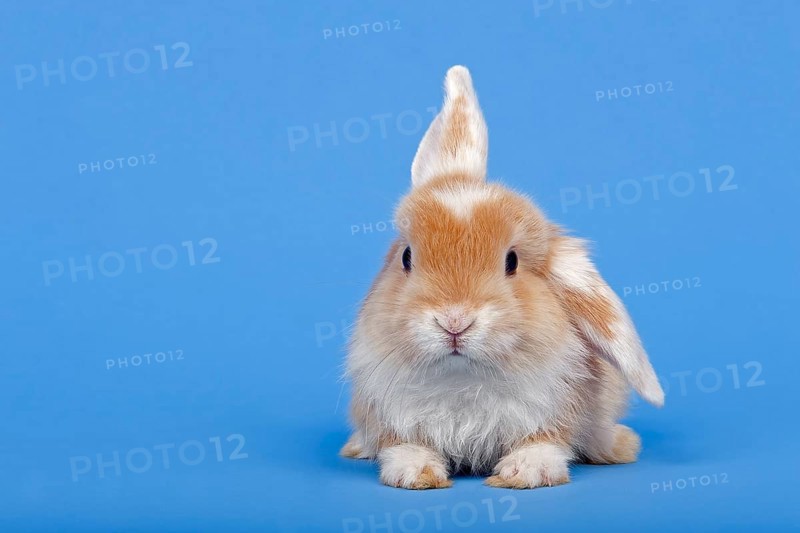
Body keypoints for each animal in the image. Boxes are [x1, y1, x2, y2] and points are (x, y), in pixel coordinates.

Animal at [340, 65, 664, 490]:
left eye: (511, 261)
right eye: (407, 257)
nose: (455, 321)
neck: (462, 378)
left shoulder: (555, 410)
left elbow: (545, 442)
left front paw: (523, 473)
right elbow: (405, 446)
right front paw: (416, 473)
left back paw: (619, 445)